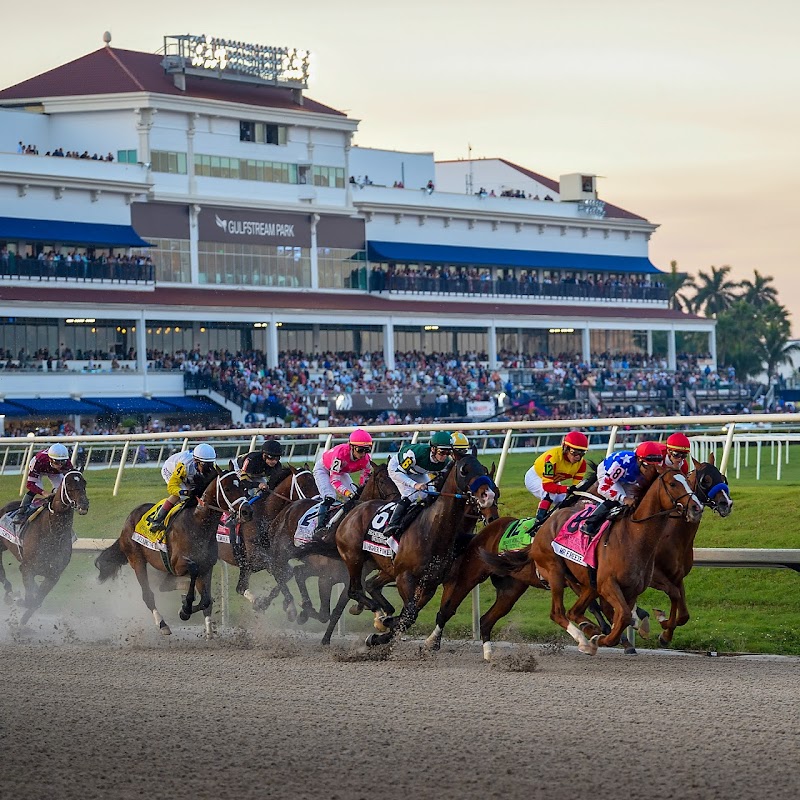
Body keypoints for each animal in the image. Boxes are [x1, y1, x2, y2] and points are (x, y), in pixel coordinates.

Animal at [0, 472, 89, 628]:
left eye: (84, 483)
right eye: (68, 484)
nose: (83, 504)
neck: (52, 533)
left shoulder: (53, 575)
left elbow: (36, 601)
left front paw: (22, 621)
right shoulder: (27, 568)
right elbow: (30, 599)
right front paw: (20, 602)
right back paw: (8, 590)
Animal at [96, 468, 253, 636]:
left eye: (243, 487)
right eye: (228, 489)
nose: (247, 511)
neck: (197, 524)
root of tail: (130, 517)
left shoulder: (207, 567)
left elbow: (206, 601)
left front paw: (186, 611)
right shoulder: (179, 565)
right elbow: (193, 570)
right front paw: (186, 607)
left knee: (164, 586)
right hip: (136, 559)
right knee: (148, 594)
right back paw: (162, 624)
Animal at [482, 468, 700, 656]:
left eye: (689, 482)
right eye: (672, 483)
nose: (696, 507)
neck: (634, 537)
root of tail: (542, 528)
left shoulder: (631, 590)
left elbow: (625, 615)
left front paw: (657, 629)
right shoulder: (608, 584)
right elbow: (622, 616)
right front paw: (602, 638)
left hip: (585, 583)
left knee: (574, 611)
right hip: (555, 571)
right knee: (558, 612)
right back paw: (585, 640)